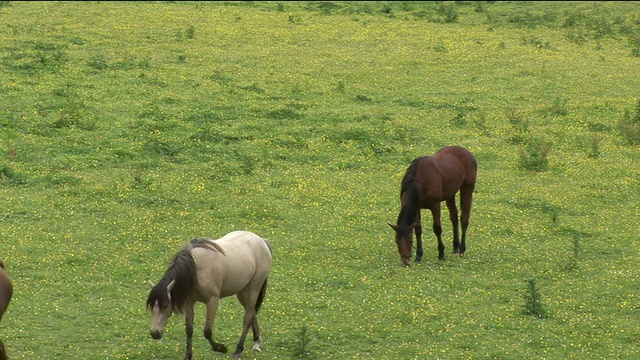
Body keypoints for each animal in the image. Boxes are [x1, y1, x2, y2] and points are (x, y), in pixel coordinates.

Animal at [146, 231, 272, 360]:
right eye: (152, 306)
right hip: (242, 292)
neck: (196, 269)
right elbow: (189, 329)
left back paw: (239, 349)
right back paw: (257, 342)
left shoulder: (212, 301)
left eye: (165, 305)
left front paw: (221, 348)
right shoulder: (189, 302)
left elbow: (207, 331)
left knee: (247, 317)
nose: (154, 333)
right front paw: (188, 355)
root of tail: (262, 241)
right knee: (252, 312)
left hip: (253, 288)